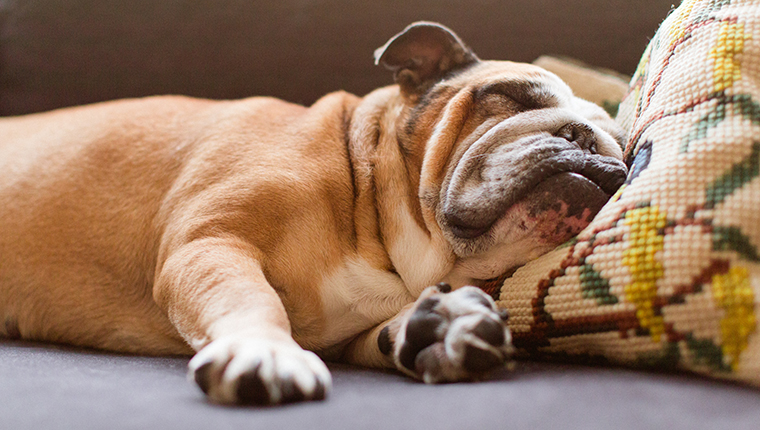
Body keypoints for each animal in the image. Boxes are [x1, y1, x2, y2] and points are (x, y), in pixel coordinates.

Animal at [0, 21, 628, 404]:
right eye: (510, 97)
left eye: (622, 148)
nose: (586, 141)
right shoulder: (211, 246)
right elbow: (251, 300)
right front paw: (266, 350)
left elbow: (377, 335)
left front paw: (438, 326)